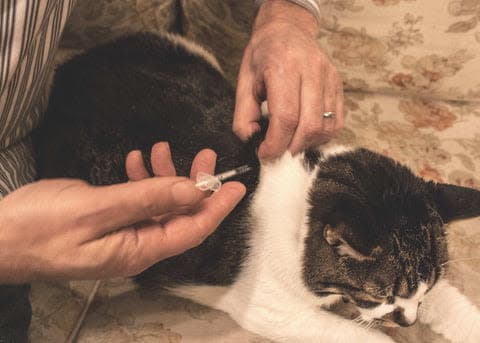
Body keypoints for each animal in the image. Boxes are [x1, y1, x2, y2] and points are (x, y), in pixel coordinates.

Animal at [35, 32, 480, 343]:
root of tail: (73, 66)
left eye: (421, 293)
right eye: (380, 296)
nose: (409, 319)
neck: (304, 196)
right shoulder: (272, 309)